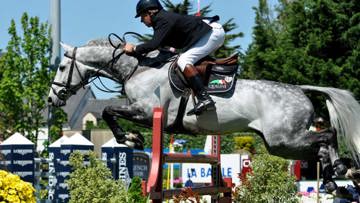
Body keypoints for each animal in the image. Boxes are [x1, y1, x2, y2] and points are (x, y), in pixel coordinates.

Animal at [49, 38, 360, 193]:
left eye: (62, 67)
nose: (53, 98)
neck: (137, 69)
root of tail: (300, 89)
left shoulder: (148, 112)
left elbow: (108, 110)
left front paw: (131, 139)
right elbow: (110, 111)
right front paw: (133, 138)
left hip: (284, 139)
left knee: (327, 136)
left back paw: (340, 170)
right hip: (282, 144)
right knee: (320, 146)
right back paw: (334, 179)